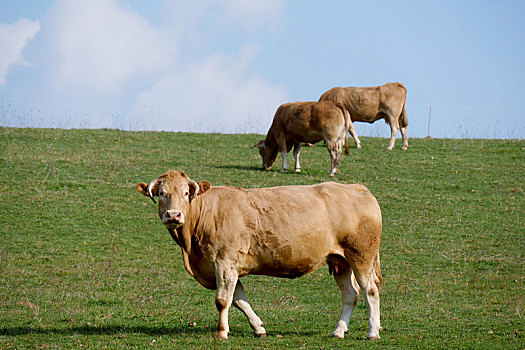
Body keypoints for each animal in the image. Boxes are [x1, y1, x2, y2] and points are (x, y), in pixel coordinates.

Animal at [135, 171, 380, 340]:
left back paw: (372, 332)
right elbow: (239, 300)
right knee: (350, 295)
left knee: (370, 291)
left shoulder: (225, 262)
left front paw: (222, 332)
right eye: (162, 194)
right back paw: (338, 330)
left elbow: (222, 300)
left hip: (361, 256)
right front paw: (258, 328)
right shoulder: (226, 267)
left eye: (186, 194)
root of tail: (358, 188)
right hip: (341, 261)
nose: (173, 215)